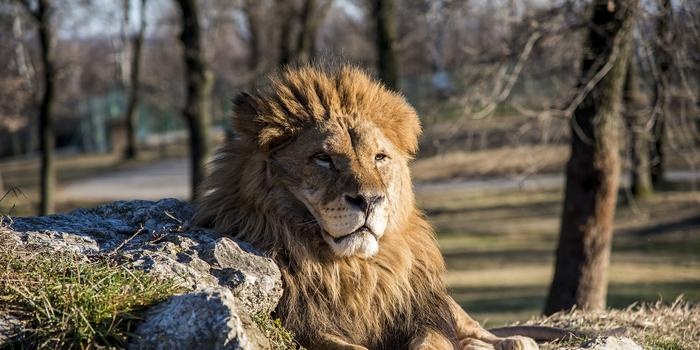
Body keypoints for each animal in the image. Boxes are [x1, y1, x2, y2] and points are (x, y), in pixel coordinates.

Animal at [194, 65, 540, 350]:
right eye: (323, 158)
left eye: (379, 158)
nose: (370, 201)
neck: (356, 269)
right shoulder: (304, 326)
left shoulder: (420, 314)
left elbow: (434, 341)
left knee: (476, 329)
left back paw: (516, 341)